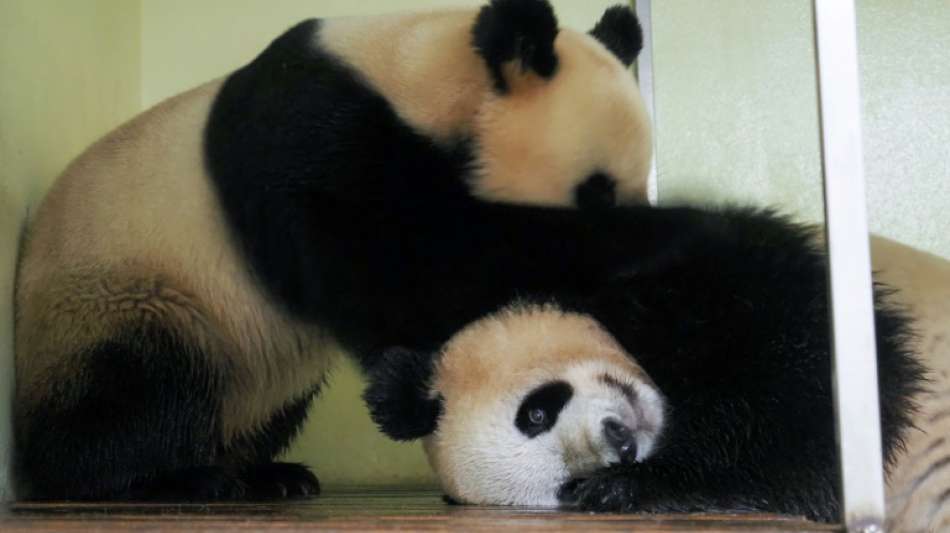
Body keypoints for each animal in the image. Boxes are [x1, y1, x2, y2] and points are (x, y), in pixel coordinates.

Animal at [14, 0, 656, 501]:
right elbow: (374, 272)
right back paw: (158, 479)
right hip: (133, 296)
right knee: (141, 387)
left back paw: (265, 475)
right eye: (595, 193)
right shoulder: (316, 140)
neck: (423, 78)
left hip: (256, 367)